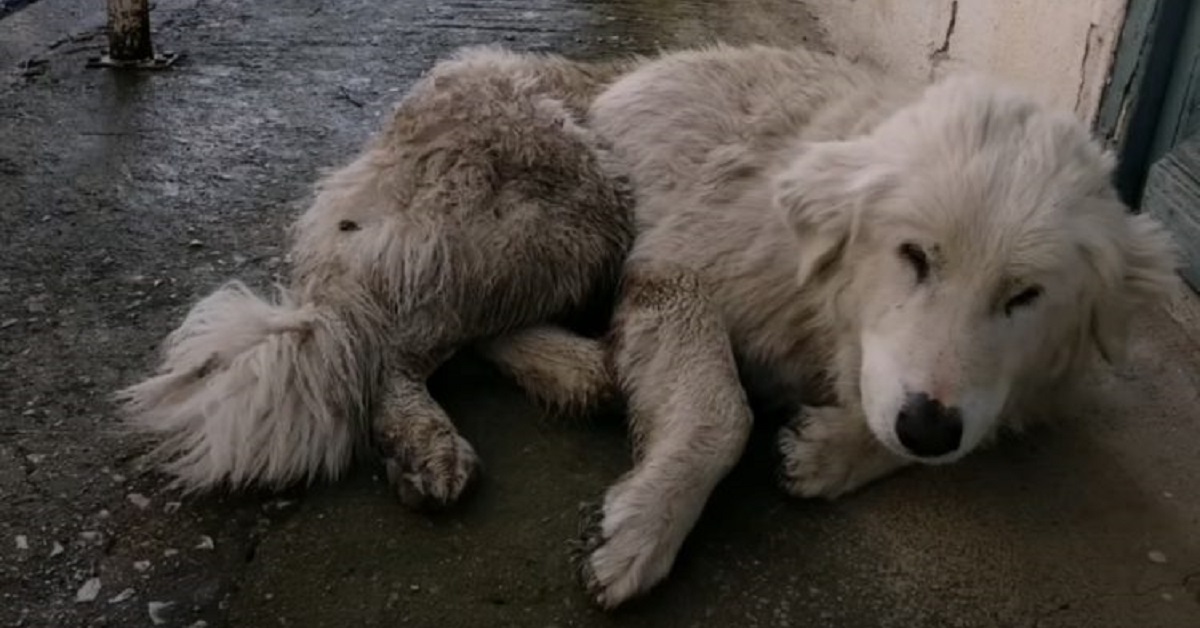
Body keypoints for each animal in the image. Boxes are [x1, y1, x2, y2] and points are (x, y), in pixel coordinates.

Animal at [114, 42, 1180, 609]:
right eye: (915, 257)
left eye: (1023, 297)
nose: (924, 423)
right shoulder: (678, 280)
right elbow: (719, 416)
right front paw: (644, 533)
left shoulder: (998, 389)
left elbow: (962, 428)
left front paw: (833, 451)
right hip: (577, 206)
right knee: (387, 336)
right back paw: (430, 441)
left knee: (467, 332)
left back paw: (578, 372)